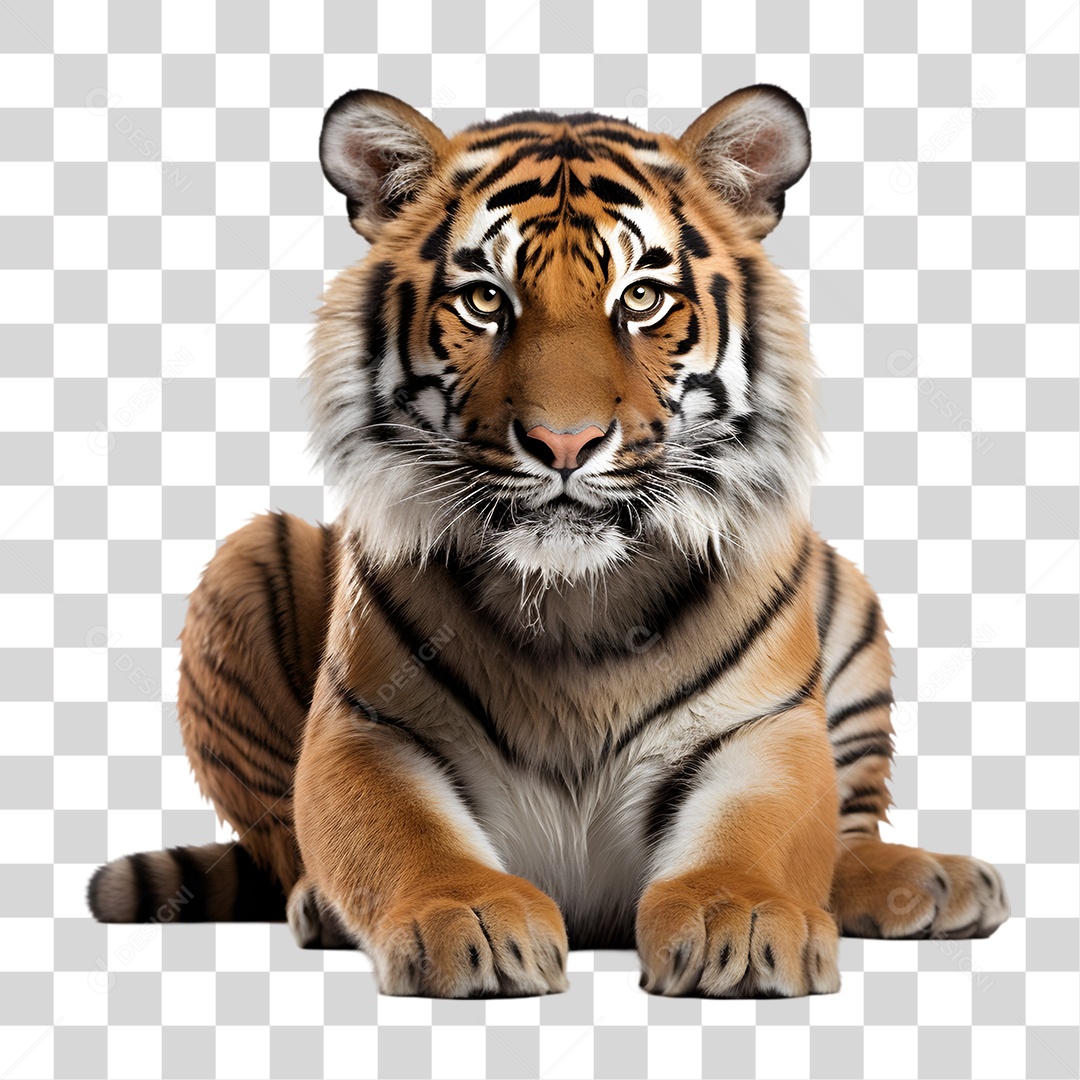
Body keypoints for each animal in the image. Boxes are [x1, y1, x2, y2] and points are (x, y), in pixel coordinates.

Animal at [88, 84, 1010, 998]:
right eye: (485, 299)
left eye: (641, 299)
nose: (564, 443)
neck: (574, 599)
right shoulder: (366, 727)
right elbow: (401, 834)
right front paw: (468, 921)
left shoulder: (766, 730)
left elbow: (764, 836)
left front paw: (740, 923)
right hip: (246, 559)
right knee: (285, 849)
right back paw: (319, 904)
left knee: (845, 835)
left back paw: (932, 881)